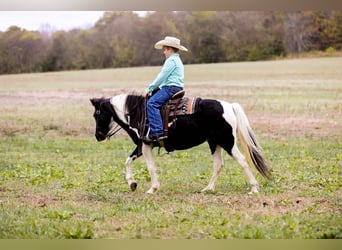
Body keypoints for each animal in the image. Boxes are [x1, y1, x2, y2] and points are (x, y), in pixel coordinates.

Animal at [89, 93, 272, 194]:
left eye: (97, 114)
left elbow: (150, 167)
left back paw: (254, 188)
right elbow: (127, 161)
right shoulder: (141, 146)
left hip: (228, 142)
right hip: (215, 142)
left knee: (242, 161)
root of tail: (229, 106)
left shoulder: (146, 145)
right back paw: (208, 188)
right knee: (218, 165)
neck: (137, 113)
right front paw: (132, 184)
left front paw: (152, 188)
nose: (98, 135)